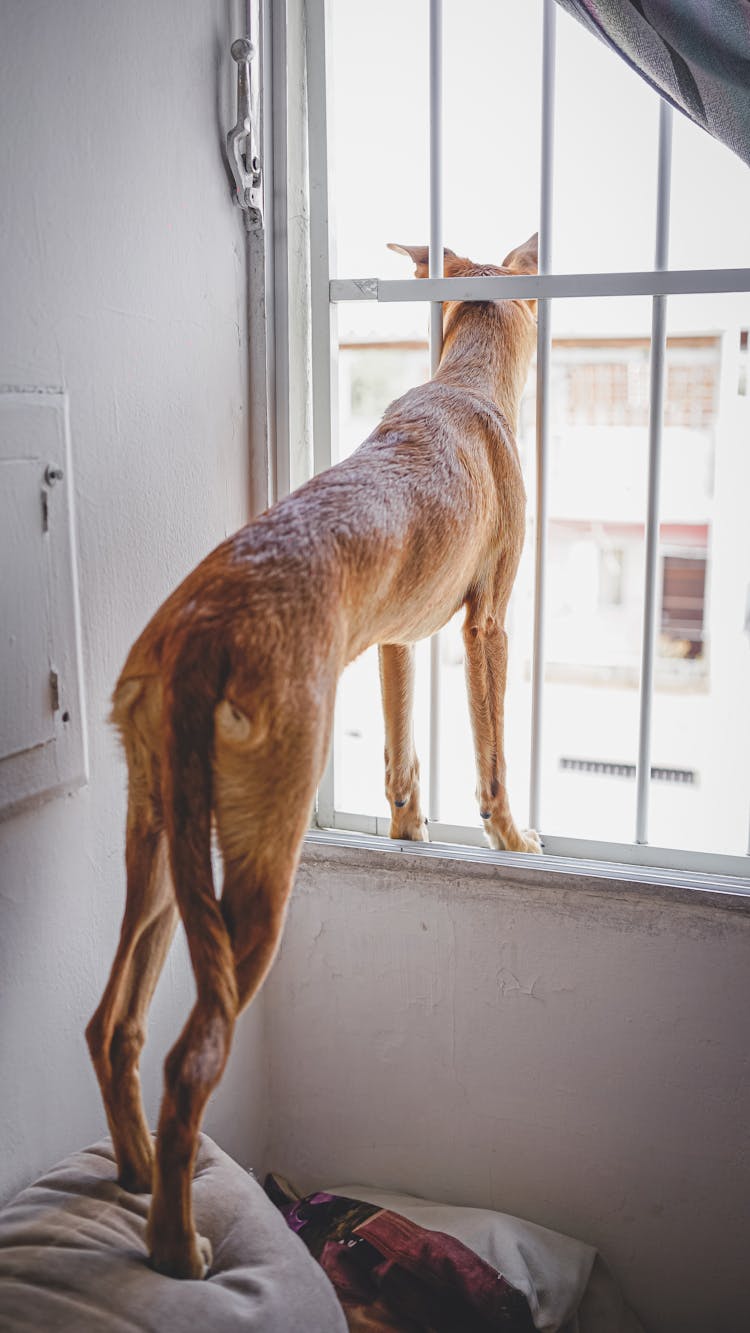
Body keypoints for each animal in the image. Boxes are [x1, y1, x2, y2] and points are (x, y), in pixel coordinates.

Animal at [85, 237, 543, 1279]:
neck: (461, 384)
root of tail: (202, 632)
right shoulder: (488, 623)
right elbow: (493, 756)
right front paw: (511, 838)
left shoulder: (398, 642)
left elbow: (404, 759)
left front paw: (412, 829)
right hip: (259, 866)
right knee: (191, 1060)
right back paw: (176, 1246)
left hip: (159, 853)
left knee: (113, 1023)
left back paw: (135, 1175)